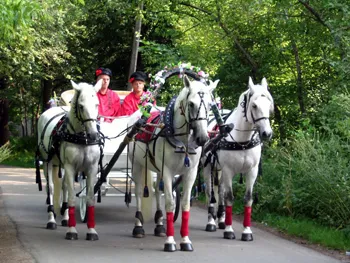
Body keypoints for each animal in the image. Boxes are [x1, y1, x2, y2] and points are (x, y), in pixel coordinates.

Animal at [36, 80, 103, 241]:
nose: (93, 135)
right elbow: (72, 198)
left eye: (97, 104)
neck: (82, 138)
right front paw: (72, 230)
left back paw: (66, 218)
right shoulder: (70, 166)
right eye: (81, 106)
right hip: (48, 163)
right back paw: (51, 220)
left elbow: (89, 198)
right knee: (51, 188)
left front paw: (91, 231)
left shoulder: (91, 168)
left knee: (65, 186)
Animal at [127, 75, 217, 253]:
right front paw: (170, 242)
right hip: (137, 164)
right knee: (139, 192)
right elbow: (169, 202)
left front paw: (185, 240)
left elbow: (185, 204)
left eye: (210, 105)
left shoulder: (190, 173)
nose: (203, 138)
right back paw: (138, 226)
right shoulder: (168, 171)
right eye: (191, 104)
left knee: (156, 191)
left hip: (157, 168)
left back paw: (159, 225)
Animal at [202, 76, 274, 241]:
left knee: (220, 191)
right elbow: (229, 197)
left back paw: (221, 219)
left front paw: (247, 231)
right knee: (210, 193)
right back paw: (211, 221)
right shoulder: (228, 170)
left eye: (269, 104)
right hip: (208, 167)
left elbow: (248, 199)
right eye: (254, 105)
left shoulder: (252, 171)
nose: (267, 133)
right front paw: (229, 230)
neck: (242, 140)